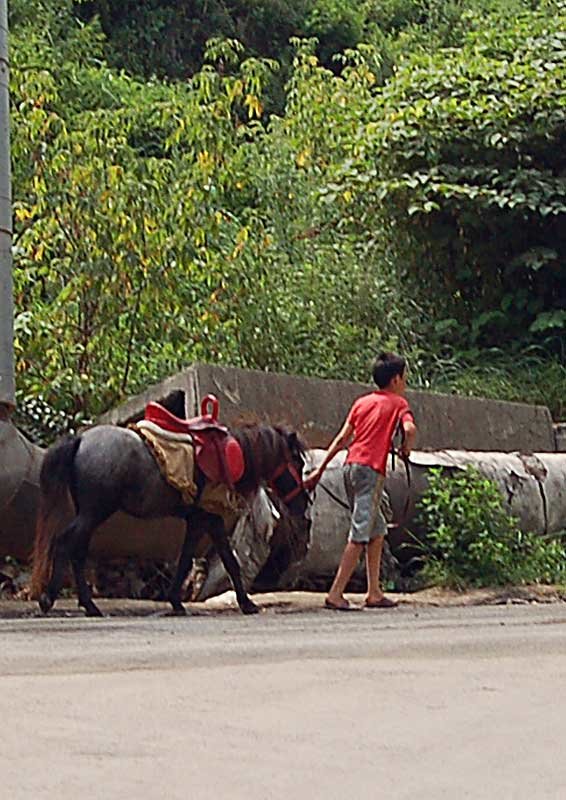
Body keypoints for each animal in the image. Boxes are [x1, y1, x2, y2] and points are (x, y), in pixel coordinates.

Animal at [31, 422, 310, 616]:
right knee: (66, 543)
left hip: (89, 513)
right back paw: (51, 598)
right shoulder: (209, 519)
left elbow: (196, 559)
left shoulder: (202, 521)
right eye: (297, 462)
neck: (229, 459)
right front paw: (247, 603)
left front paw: (176, 601)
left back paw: (87, 605)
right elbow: (226, 561)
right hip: (94, 511)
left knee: (77, 550)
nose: (304, 503)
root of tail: (81, 439)